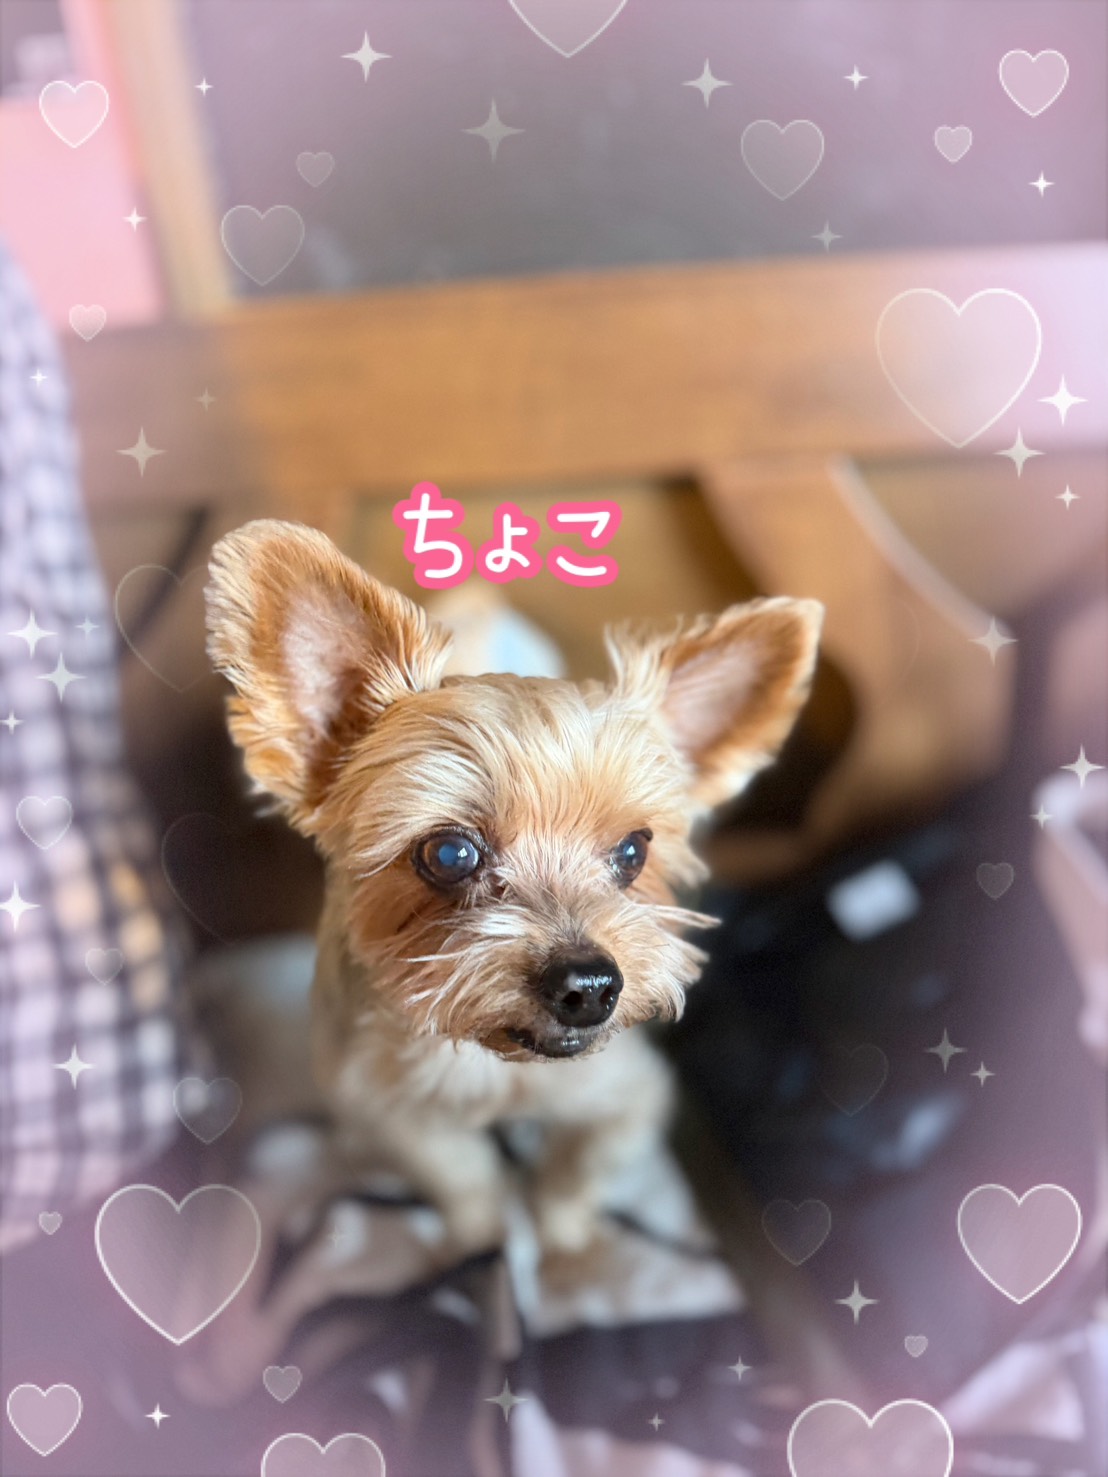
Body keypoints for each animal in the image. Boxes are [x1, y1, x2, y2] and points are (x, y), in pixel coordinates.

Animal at [205, 519, 822, 1265]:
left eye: (634, 850)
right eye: (449, 854)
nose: (589, 986)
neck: (501, 1069)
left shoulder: (630, 1095)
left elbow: (576, 1168)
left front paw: (564, 1241)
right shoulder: (388, 1105)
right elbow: (461, 1173)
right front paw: (480, 1243)